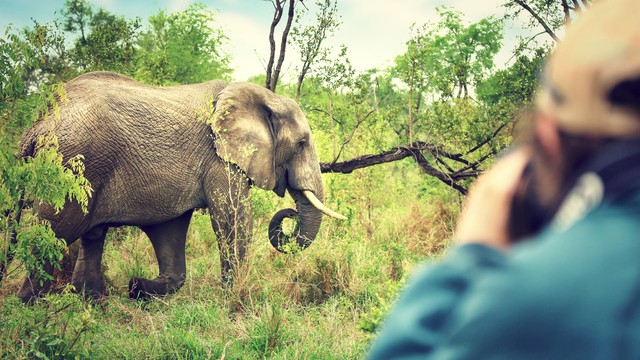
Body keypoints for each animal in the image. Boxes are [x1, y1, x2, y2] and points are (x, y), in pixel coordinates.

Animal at [15, 70, 344, 300]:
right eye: (301, 144)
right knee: (52, 237)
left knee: (92, 236)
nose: (291, 212)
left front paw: (137, 287)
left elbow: (170, 234)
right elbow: (232, 218)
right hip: (70, 166)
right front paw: (234, 296)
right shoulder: (218, 158)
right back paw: (29, 310)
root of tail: (38, 122)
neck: (265, 97)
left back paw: (94, 302)